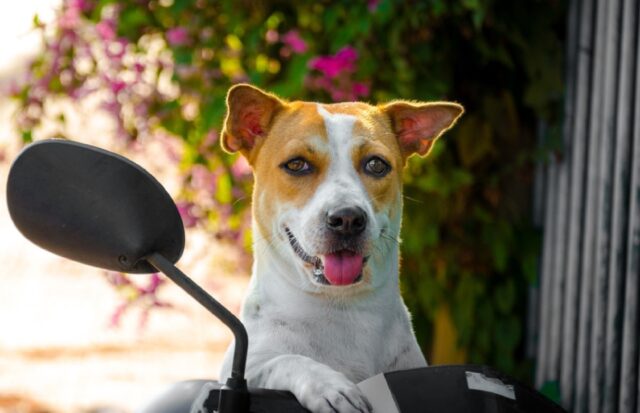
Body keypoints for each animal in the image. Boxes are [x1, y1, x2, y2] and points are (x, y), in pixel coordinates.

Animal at [216, 84, 464, 412]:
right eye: (296, 164)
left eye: (376, 164)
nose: (347, 219)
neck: (343, 309)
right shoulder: (247, 365)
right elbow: (286, 360)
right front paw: (328, 385)